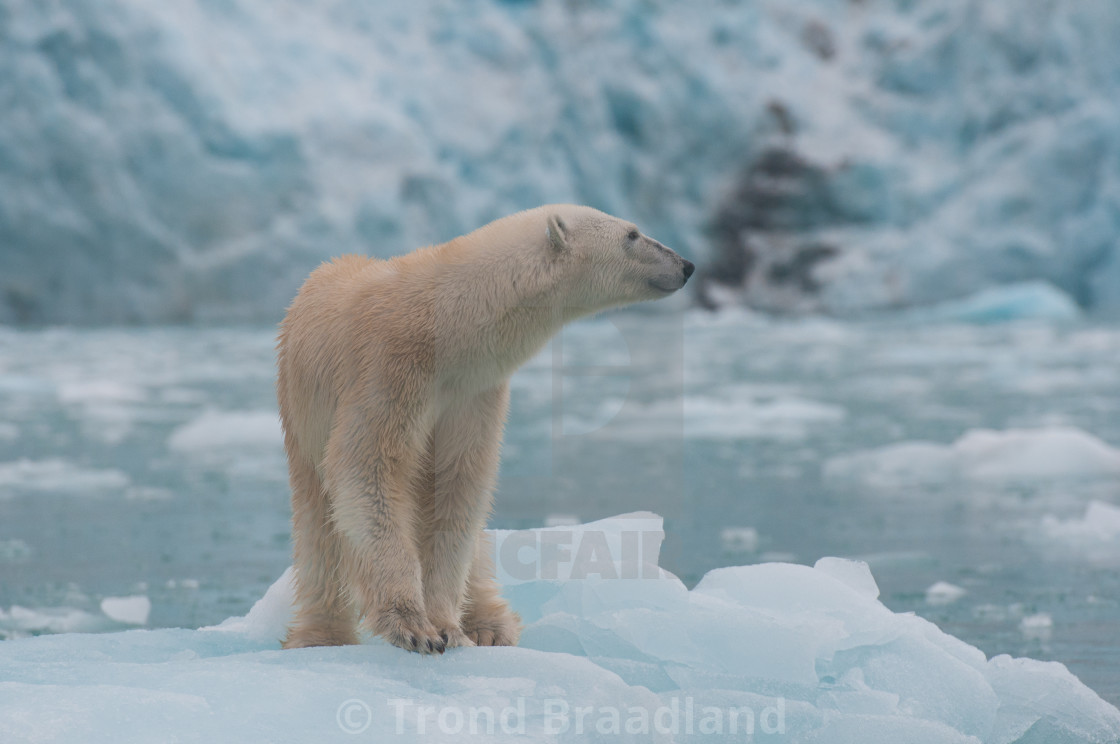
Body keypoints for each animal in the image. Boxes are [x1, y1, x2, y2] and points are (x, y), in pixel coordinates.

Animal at [275, 203, 689, 649]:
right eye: (632, 234)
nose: (686, 265)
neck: (446, 324)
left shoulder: (473, 393)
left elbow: (459, 484)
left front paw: (447, 626)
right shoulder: (388, 369)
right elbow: (369, 469)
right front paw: (414, 627)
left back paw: (491, 624)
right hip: (300, 413)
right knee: (320, 527)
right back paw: (320, 635)